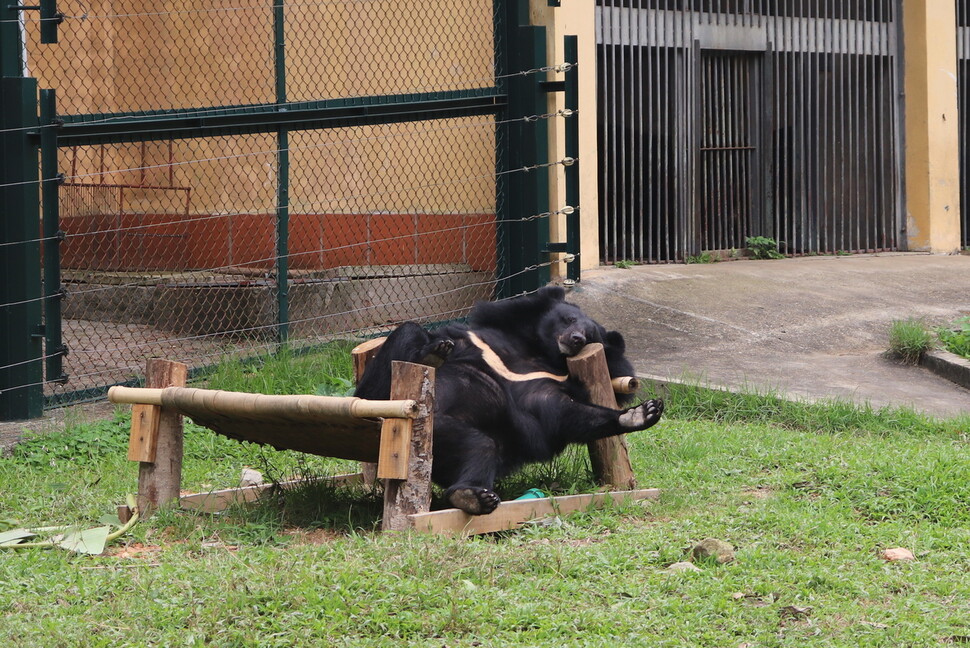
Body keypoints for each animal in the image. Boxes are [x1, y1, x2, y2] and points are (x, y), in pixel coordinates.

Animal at [356, 286, 664, 512]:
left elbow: (560, 412)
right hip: (381, 392)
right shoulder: (483, 338)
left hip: (453, 436)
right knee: (407, 333)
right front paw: (436, 348)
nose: (575, 338)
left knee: (478, 447)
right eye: (568, 319)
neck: (539, 351)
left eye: (590, 336)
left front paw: (642, 412)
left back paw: (472, 496)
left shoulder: (544, 385)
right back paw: (430, 354)